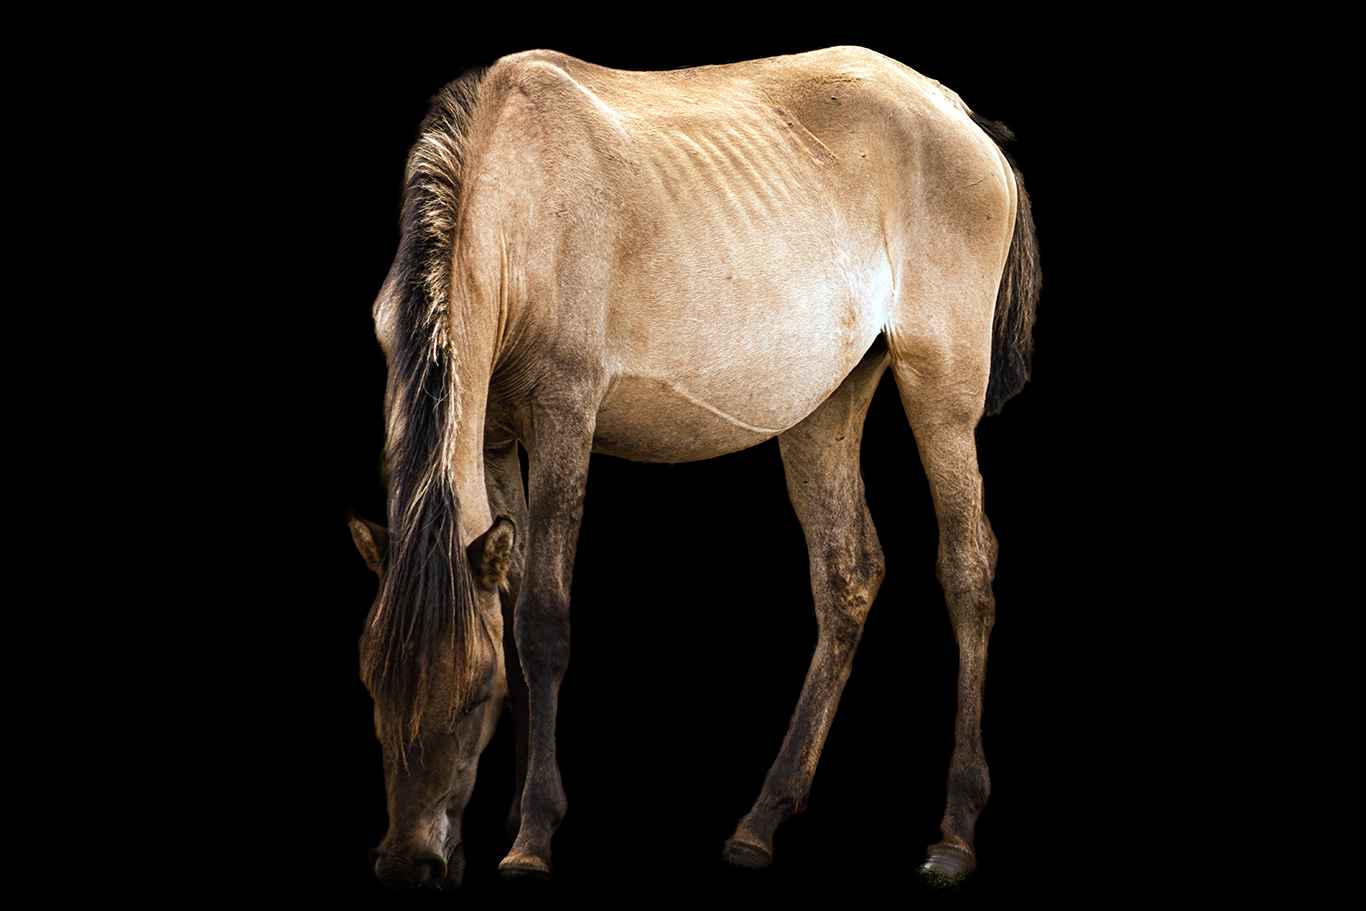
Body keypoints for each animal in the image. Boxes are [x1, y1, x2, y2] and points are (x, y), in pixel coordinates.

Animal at [347, 46, 1039, 890]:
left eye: (476, 692)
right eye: (371, 680)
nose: (408, 861)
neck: (514, 198)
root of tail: (952, 109)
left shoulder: (564, 414)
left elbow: (542, 619)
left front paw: (533, 834)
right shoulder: (495, 438)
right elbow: (510, 612)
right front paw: (512, 814)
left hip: (941, 385)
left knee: (968, 568)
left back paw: (954, 833)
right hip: (826, 404)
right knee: (848, 573)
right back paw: (761, 821)